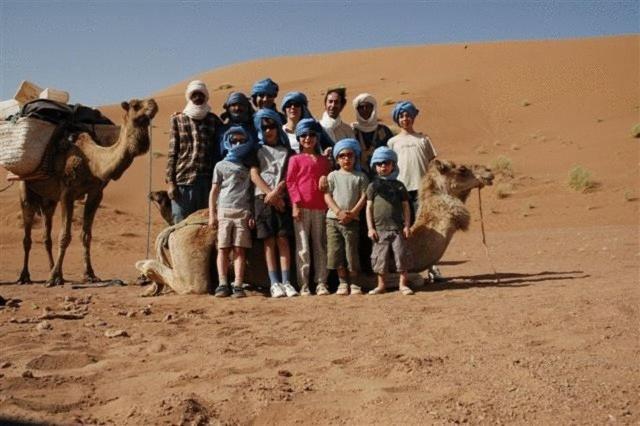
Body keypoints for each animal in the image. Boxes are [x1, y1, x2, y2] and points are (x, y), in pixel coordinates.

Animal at [18, 98, 158, 288]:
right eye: (136, 105)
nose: (153, 103)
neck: (92, 161)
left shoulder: (96, 193)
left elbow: (86, 236)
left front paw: (90, 274)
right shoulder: (67, 192)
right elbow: (65, 236)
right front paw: (53, 278)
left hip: (49, 199)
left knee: (46, 235)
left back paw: (54, 270)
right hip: (25, 187)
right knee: (27, 235)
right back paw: (25, 276)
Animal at [135, 160, 496, 296]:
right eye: (461, 169)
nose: (489, 173)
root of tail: (178, 226)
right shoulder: (365, 271)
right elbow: (414, 277)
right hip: (192, 248)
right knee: (190, 284)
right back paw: (144, 270)